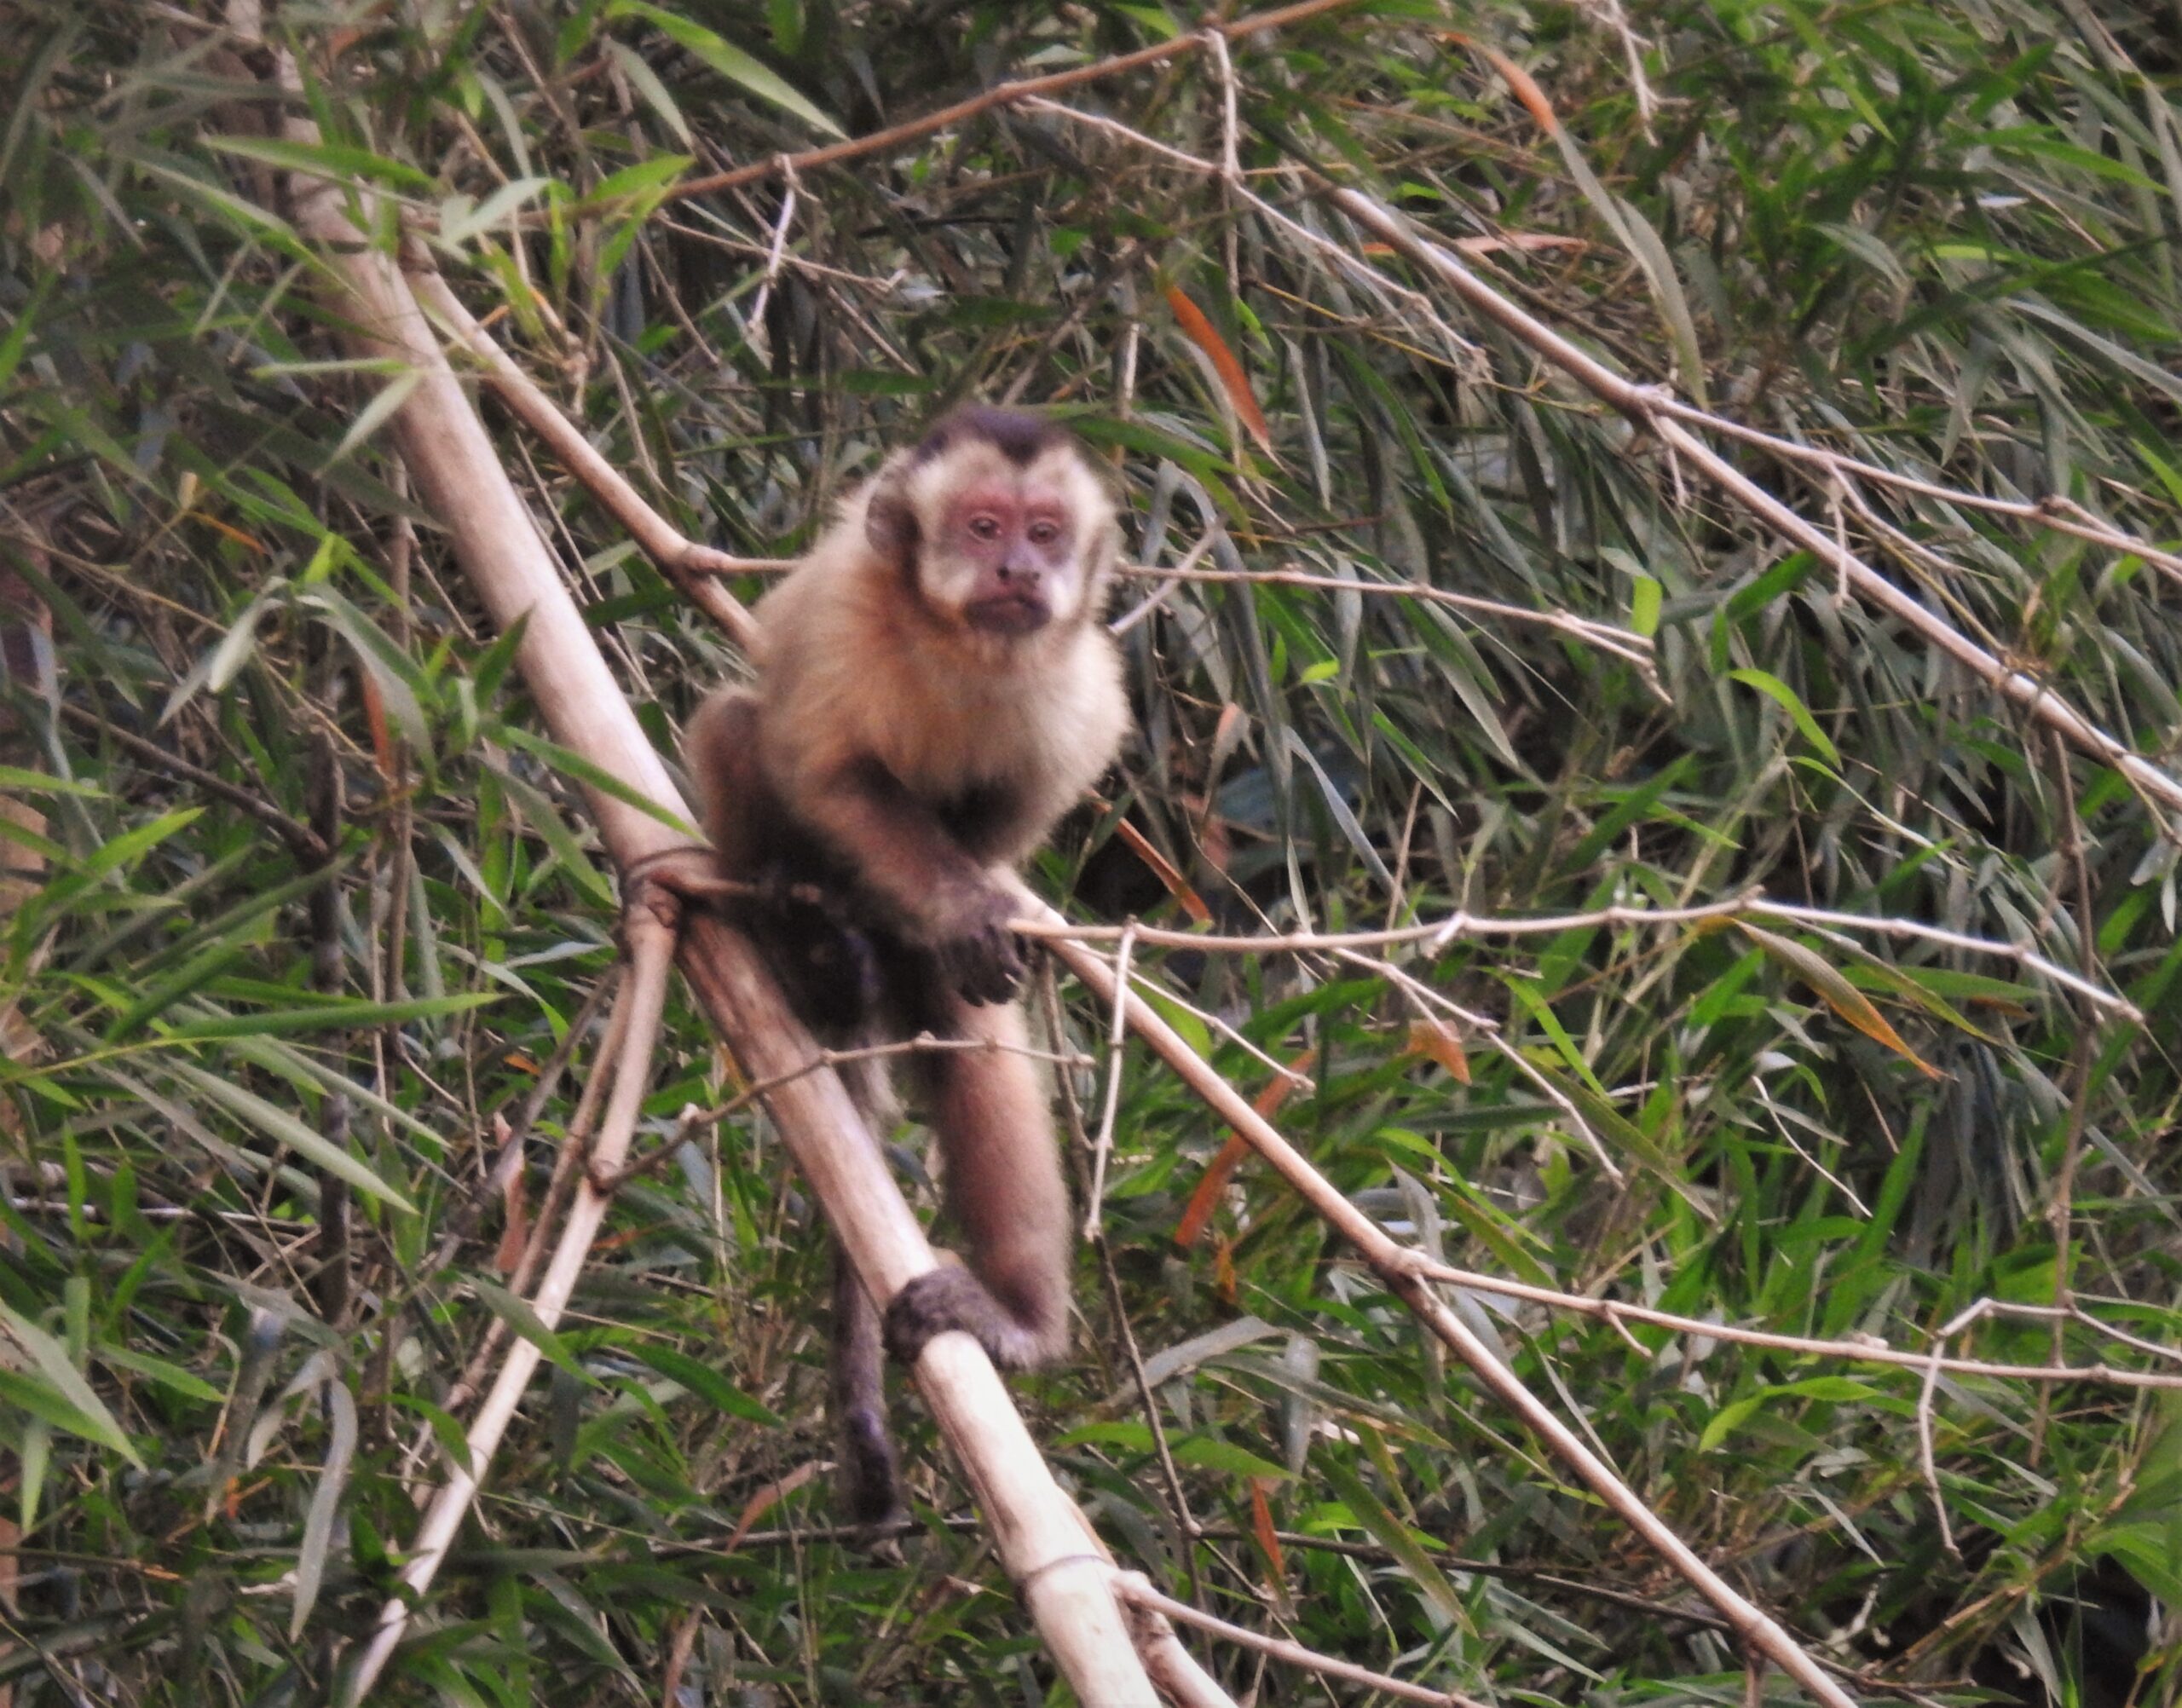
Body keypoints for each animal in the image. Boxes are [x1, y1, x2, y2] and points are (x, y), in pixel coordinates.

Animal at [680, 410, 1125, 1526]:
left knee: (971, 1042)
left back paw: (1015, 1320)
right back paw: (812, 942)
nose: (1018, 569)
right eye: (980, 526)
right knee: (737, 728)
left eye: (1046, 532)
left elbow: (1001, 825)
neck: (959, 645)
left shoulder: (1079, 690)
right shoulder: (845, 615)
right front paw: (959, 909)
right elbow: (830, 772)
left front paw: (969, 906)